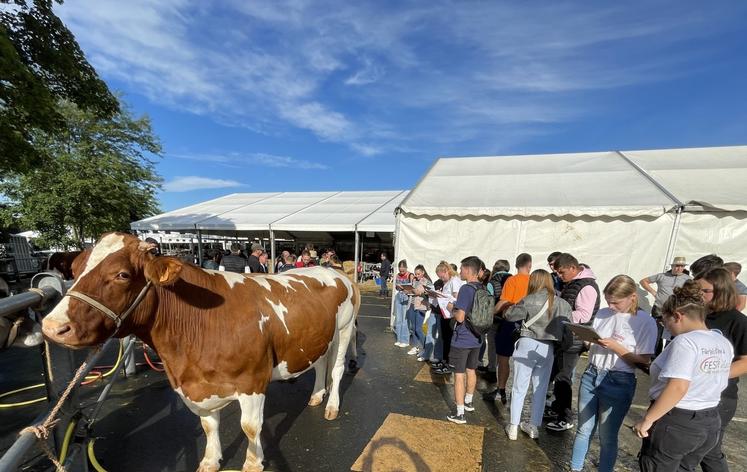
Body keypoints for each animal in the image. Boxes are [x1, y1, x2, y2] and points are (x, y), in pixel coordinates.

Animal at [41, 233, 362, 472]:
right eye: (75, 271)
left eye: (122, 274)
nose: (52, 326)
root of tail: (331, 270)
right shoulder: (198, 386)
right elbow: (208, 426)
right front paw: (210, 460)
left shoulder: (253, 381)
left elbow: (250, 427)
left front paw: (253, 463)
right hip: (318, 336)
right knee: (320, 364)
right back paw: (316, 395)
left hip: (345, 328)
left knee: (336, 369)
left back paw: (332, 406)